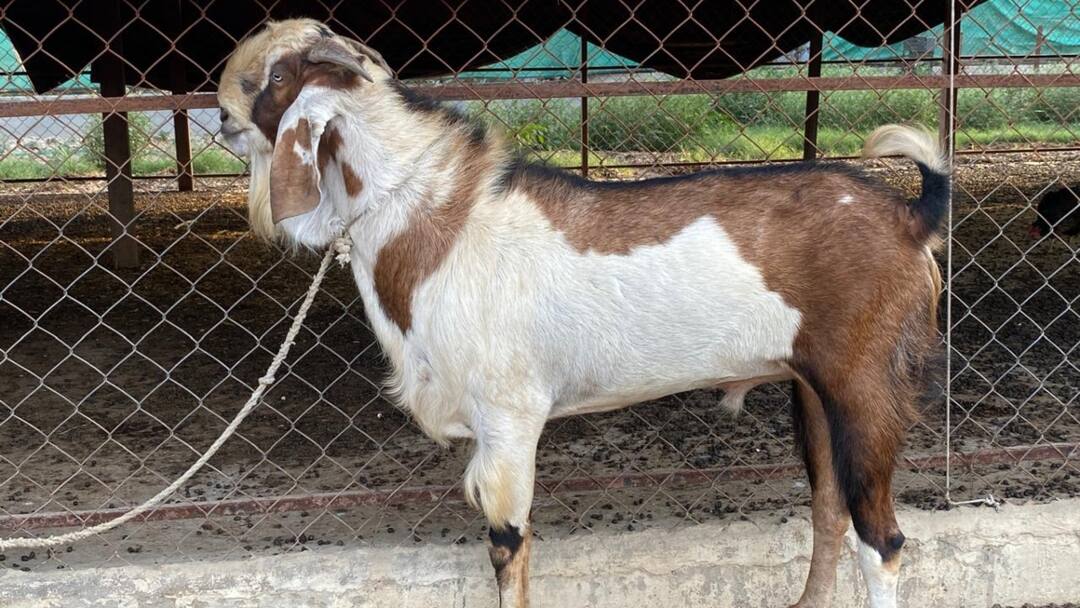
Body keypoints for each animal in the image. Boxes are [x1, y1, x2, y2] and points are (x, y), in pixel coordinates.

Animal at [222, 29, 949, 608]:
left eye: (279, 76)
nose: (223, 119)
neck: (440, 220)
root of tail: (910, 216)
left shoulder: (509, 415)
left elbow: (507, 546)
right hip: (814, 390)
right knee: (830, 511)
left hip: (867, 384)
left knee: (882, 539)